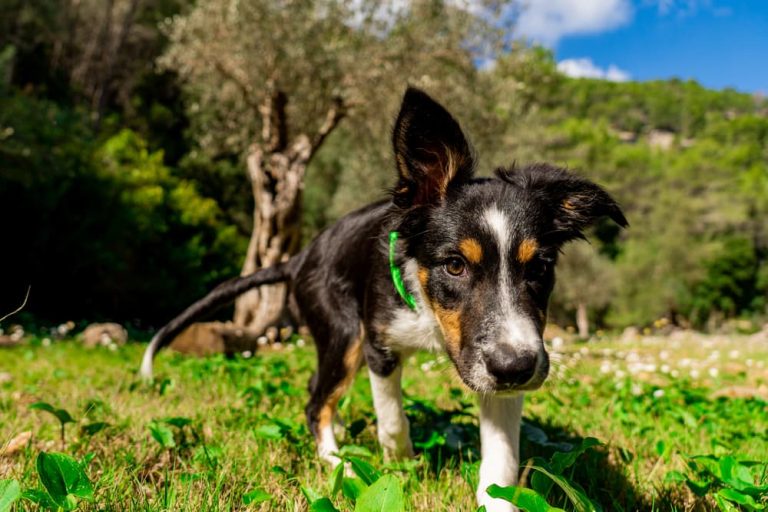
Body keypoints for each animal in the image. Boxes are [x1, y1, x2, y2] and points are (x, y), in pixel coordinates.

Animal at [141, 88, 628, 512]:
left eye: (540, 268)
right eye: (455, 265)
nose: (516, 368)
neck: (431, 312)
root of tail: (299, 258)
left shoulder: (499, 366)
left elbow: (502, 457)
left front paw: (497, 501)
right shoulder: (381, 345)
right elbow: (392, 418)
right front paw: (399, 466)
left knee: (317, 391)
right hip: (343, 335)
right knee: (316, 403)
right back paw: (338, 463)